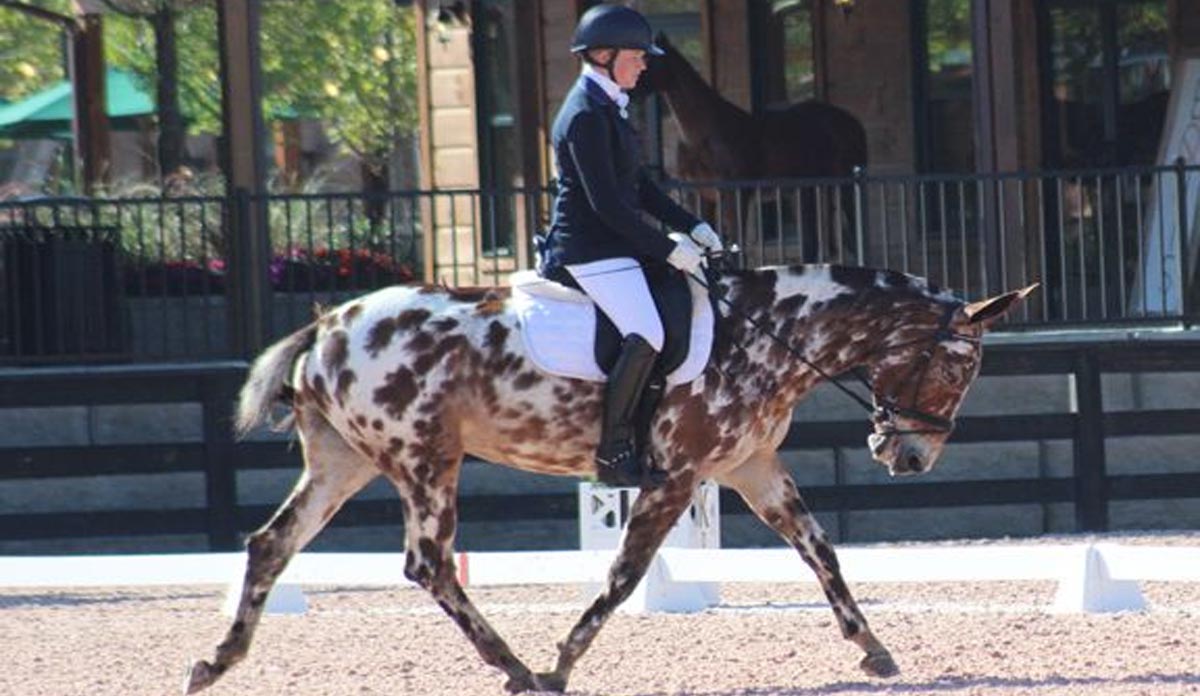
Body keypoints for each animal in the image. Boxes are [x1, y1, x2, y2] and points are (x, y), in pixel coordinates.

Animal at [638, 33, 873, 266]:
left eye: (648, 59)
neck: (703, 137)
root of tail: (851, 122)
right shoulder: (700, 195)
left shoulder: (736, 194)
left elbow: (736, 243)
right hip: (809, 189)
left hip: (844, 186)